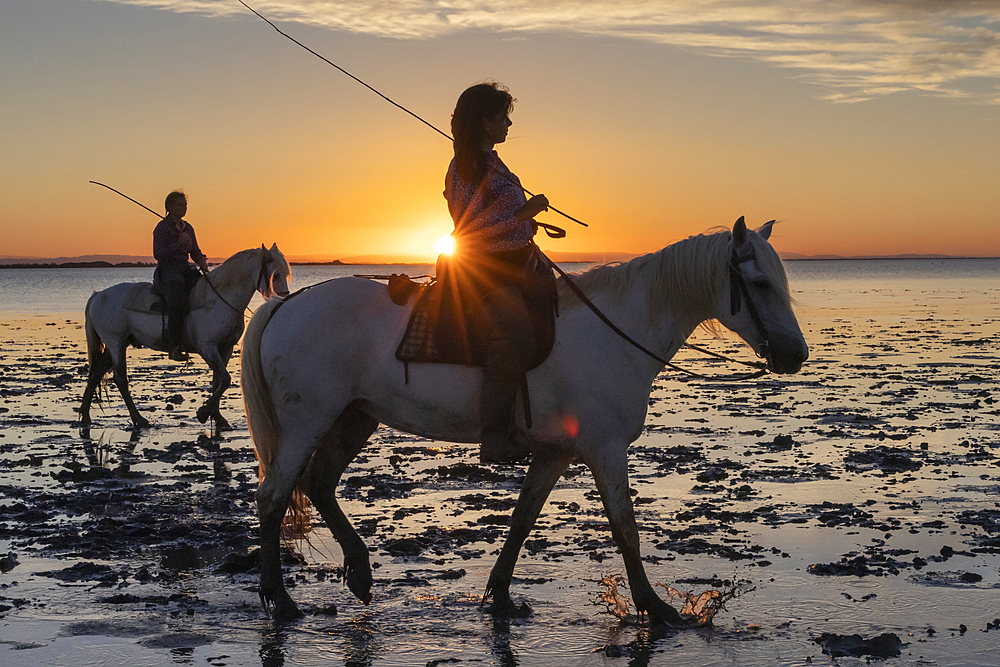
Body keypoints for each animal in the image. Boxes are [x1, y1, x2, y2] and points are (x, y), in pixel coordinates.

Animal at [80, 244, 292, 428]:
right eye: (275, 274)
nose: (285, 298)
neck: (219, 299)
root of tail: (98, 295)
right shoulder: (207, 348)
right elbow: (225, 379)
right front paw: (203, 413)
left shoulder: (225, 348)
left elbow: (217, 381)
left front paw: (217, 417)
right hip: (116, 342)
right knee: (120, 379)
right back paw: (138, 419)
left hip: (117, 344)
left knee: (96, 372)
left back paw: (85, 415)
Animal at [240, 219, 804, 628]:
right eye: (758, 283)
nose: (795, 355)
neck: (616, 329)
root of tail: (285, 305)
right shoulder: (605, 448)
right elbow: (625, 527)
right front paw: (656, 608)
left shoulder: (555, 453)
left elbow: (522, 519)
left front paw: (501, 596)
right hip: (308, 421)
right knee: (274, 496)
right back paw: (280, 599)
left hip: (355, 417)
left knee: (319, 483)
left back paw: (357, 571)